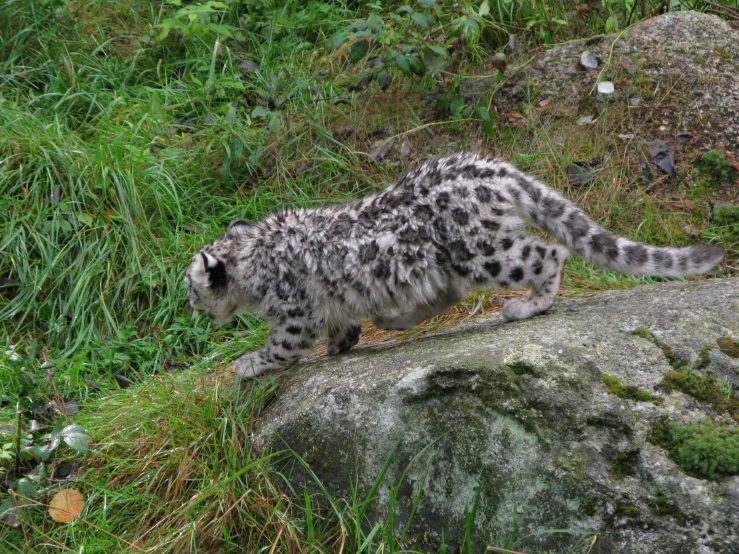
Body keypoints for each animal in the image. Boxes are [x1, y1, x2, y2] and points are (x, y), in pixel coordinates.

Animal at [185, 152, 724, 380]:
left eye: (191, 289)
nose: (197, 312)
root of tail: (499, 170)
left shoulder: (293, 313)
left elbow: (282, 346)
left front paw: (247, 364)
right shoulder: (329, 304)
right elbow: (342, 325)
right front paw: (343, 345)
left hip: (482, 252)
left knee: (549, 253)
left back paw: (527, 306)